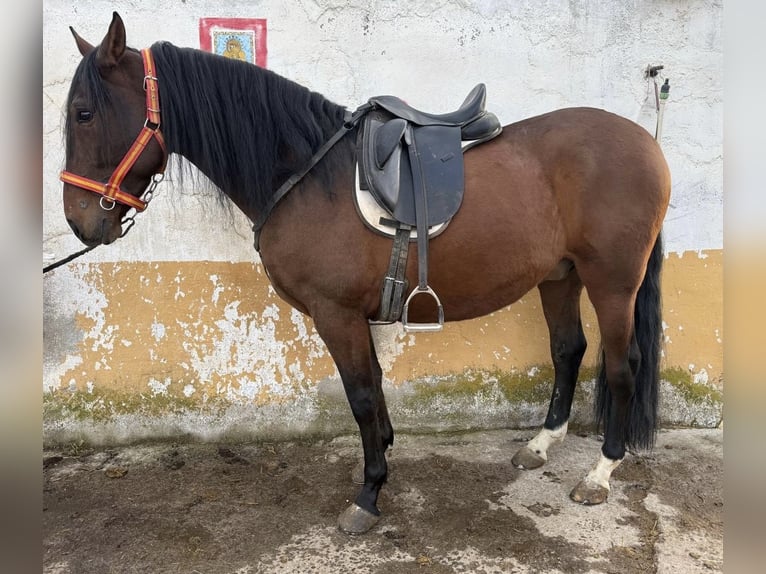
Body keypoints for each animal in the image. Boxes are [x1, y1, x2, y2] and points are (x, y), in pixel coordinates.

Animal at [58, 12, 670, 534]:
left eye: (84, 113)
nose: (80, 221)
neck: (306, 173)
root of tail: (646, 143)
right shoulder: (355, 316)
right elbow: (374, 385)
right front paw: (386, 453)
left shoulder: (337, 314)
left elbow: (359, 395)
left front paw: (369, 493)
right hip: (560, 275)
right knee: (568, 349)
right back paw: (540, 446)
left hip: (612, 281)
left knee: (624, 366)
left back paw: (600, 473)